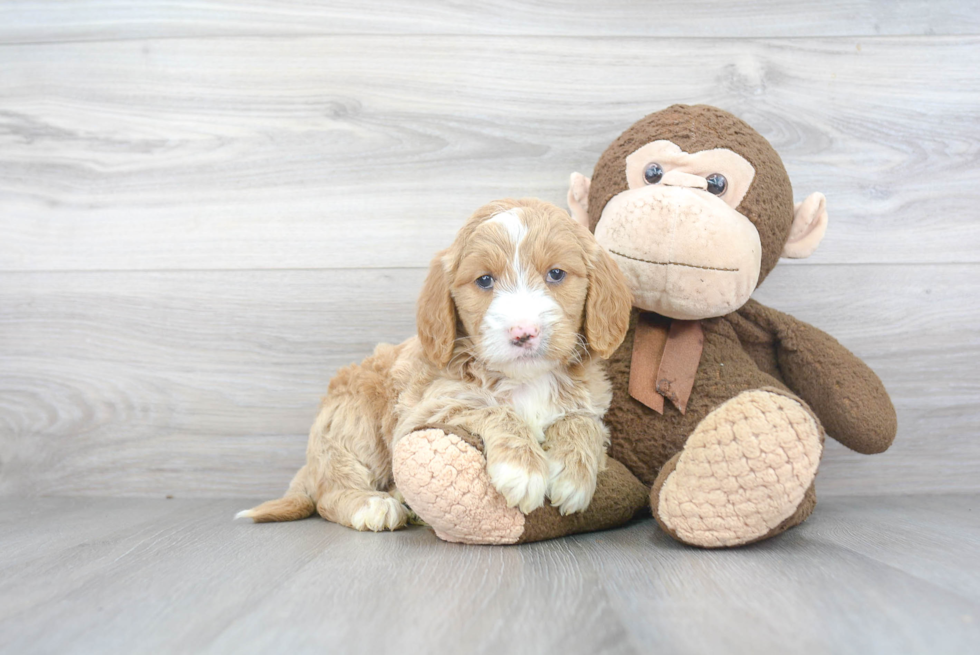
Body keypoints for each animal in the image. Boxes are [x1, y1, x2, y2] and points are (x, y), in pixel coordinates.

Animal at [241, 197, 632, 532]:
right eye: (484, 280)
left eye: (556, 274)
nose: (524, 332)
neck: (525, 380)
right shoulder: (428, 408)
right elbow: (492, 409)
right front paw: (523, 468)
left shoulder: (592, 404)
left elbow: (582, 421)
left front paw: (573, 473)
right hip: (354, 420)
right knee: (330, 492)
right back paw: (373, 504)